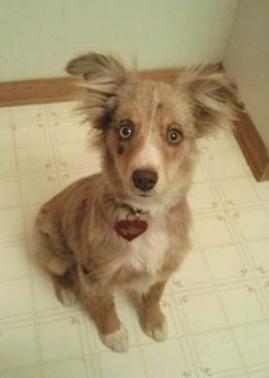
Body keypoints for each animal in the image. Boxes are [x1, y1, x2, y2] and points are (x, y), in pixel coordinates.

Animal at [34, 52, 239, 352]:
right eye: (126, 130)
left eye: (174, 134)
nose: (144, 179)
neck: (145, 215)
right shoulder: (96, 274)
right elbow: (105, 305)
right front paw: (113, 334)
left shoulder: (165, 266)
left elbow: (153, 295)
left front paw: (153, 321)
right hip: (54, 253)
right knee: (56, 270)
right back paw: (68, 289)